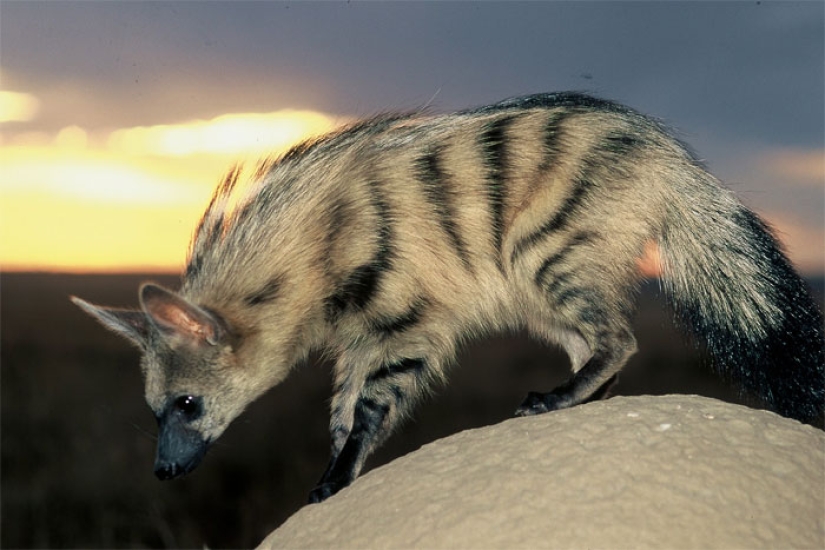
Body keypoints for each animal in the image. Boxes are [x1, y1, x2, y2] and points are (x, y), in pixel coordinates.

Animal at [72, 92, 824, 503]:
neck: (313, 256)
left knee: (617, 338)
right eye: (155, 409)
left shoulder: (407, 316)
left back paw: (553, 398)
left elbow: (371, 402)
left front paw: (332, 480)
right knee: (593, 344)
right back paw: (576, 401)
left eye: (186, 404)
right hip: (537, 286)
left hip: (544, 248)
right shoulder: (361, 334)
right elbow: (341, 406)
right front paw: (336, 470)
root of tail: (671, 158)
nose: (163, 471)